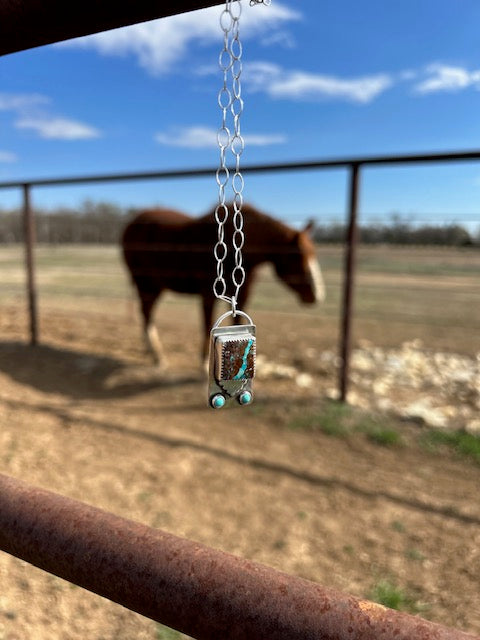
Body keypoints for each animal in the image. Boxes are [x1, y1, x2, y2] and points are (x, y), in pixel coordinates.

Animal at [121, 205, 326, 364]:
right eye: (298, 257)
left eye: (314, 253)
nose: (317, 295)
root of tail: (131, 224)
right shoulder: (207, 295)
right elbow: (206, 326)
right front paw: (204, 362)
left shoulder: (242, 295)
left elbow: (237, 322)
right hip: (145, 284)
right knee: (147, 313)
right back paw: (157, 354)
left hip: (154, 286)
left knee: (146, 312)